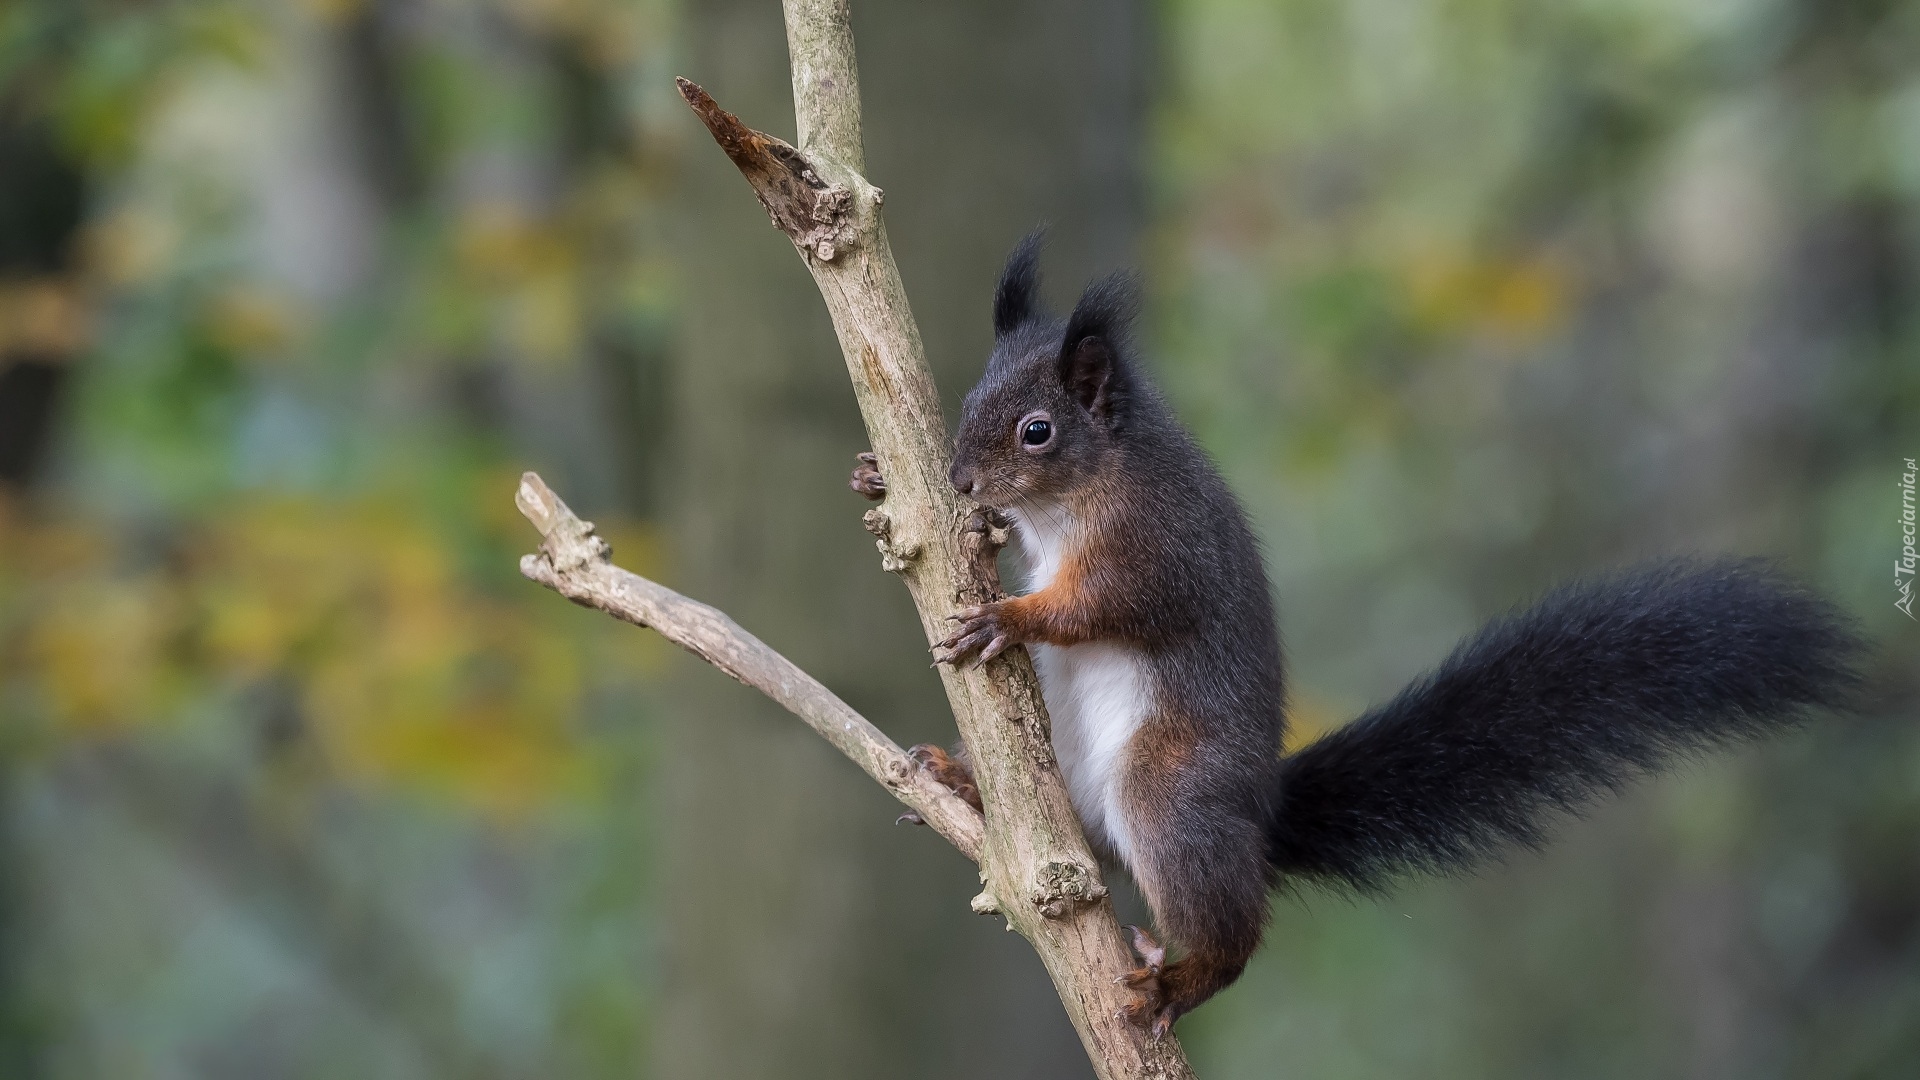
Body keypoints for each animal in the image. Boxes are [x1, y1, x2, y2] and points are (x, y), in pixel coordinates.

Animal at [848, 231, 1866, 1030]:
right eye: (969, 399)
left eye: (1037, 430)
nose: (961, 479)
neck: (1086, 490)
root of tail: (1260, 814)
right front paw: (878, 478)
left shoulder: (1161, 547)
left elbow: (1108, 605)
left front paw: (1009, 614)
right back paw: (965, 784)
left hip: (1173, 792)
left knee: (1231, 928)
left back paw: (1179, 981)